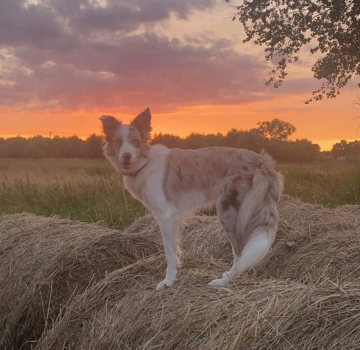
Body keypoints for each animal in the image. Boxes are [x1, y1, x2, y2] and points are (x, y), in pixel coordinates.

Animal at [100, 107, 282, 290]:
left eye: (135, 141)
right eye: (118, 141)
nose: (127, 156)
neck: (145, 163)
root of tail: (261, 161)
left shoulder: (165, 216)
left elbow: (168, 252)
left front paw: (167, 282)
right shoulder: (173, 219)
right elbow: (175, 250)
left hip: (229, 211)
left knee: (240, 254)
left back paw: (224, 281)